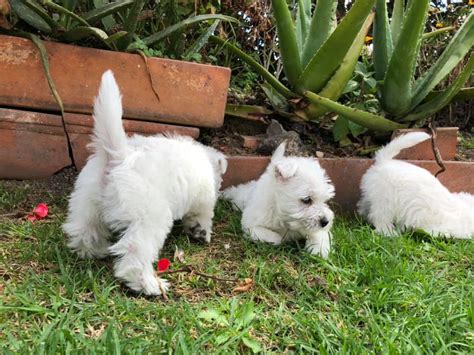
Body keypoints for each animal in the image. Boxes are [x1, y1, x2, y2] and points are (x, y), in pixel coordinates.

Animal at [63, 71, 228, 296]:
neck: (205, 160)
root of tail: (118, 158)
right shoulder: (202, 200)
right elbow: (202, 216)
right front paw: (201, 232)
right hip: (150, 218)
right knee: (135, 251)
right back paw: (148, 285)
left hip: (86, 203)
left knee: (84, 231)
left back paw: (95, 251)